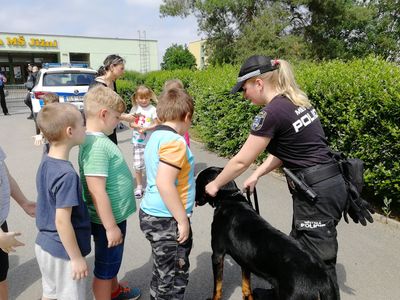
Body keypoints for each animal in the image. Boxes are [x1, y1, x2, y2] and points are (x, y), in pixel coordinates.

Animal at [195, 168, 336, 298]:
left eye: (197, 182)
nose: (195, 199)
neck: (229, 198)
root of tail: (322, 282)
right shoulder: (245, 260)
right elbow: (246, 287)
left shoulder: (217, 255)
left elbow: (217, 288)